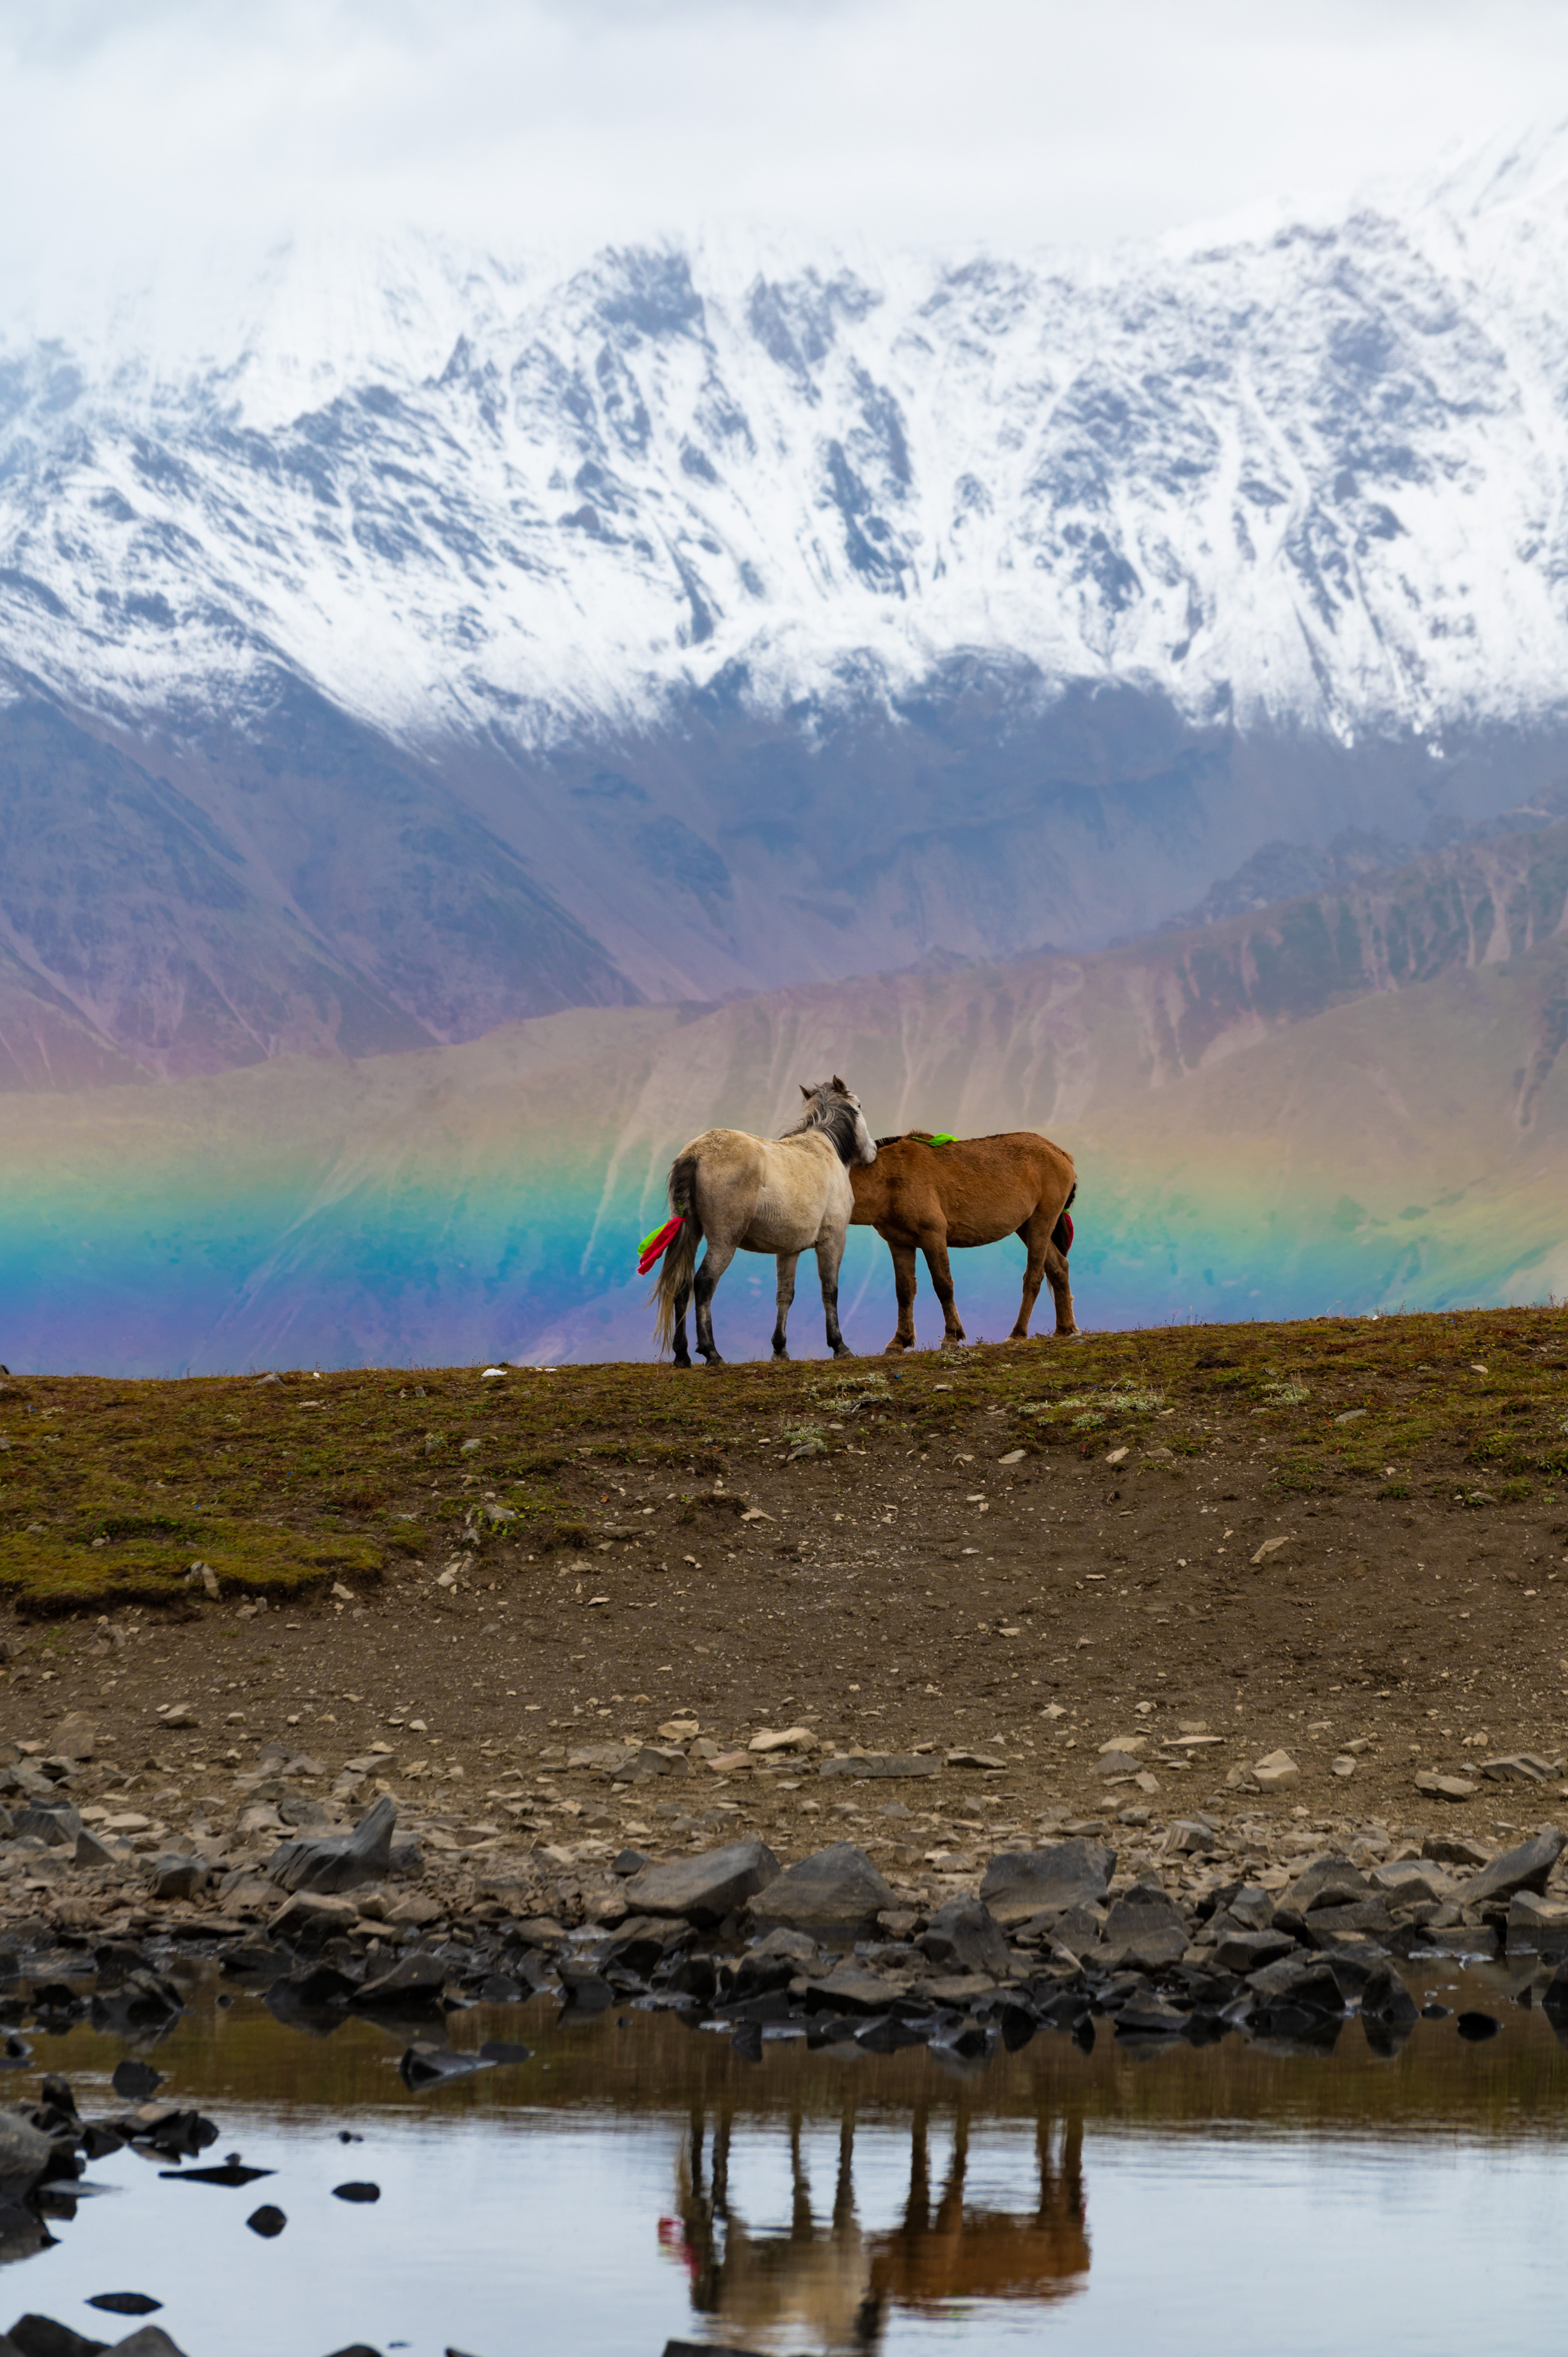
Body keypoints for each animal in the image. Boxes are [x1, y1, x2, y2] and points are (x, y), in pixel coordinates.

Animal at [641, 1079, 872, 1376]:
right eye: (860, 1106)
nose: (872, 1152)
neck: (824, 1149)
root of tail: (695, 1153)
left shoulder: (789, 1250)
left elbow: (785, 1295)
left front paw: (780, 1349)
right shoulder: (833, 1241)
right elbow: (830, 1291)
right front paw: (839, 1346)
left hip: (691, 1234)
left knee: (683, 1285)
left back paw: (682, 1354)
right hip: (724, 1241)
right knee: (704, 1283)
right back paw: (711, 1352)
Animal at [844, 1131, 1075, 1357]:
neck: (888, 1179)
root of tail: (1062, 1154)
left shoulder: (933, 1236)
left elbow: (943, 1285)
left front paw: (952, 1336)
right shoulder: (899, 1243)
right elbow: (904, 1291)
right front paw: (900, 1341)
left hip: (1041, 1221)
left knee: (1034, 1276)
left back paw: (1018, 1333)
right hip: (1026, 1226)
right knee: (1059, 1267)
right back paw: (1064, 1328)